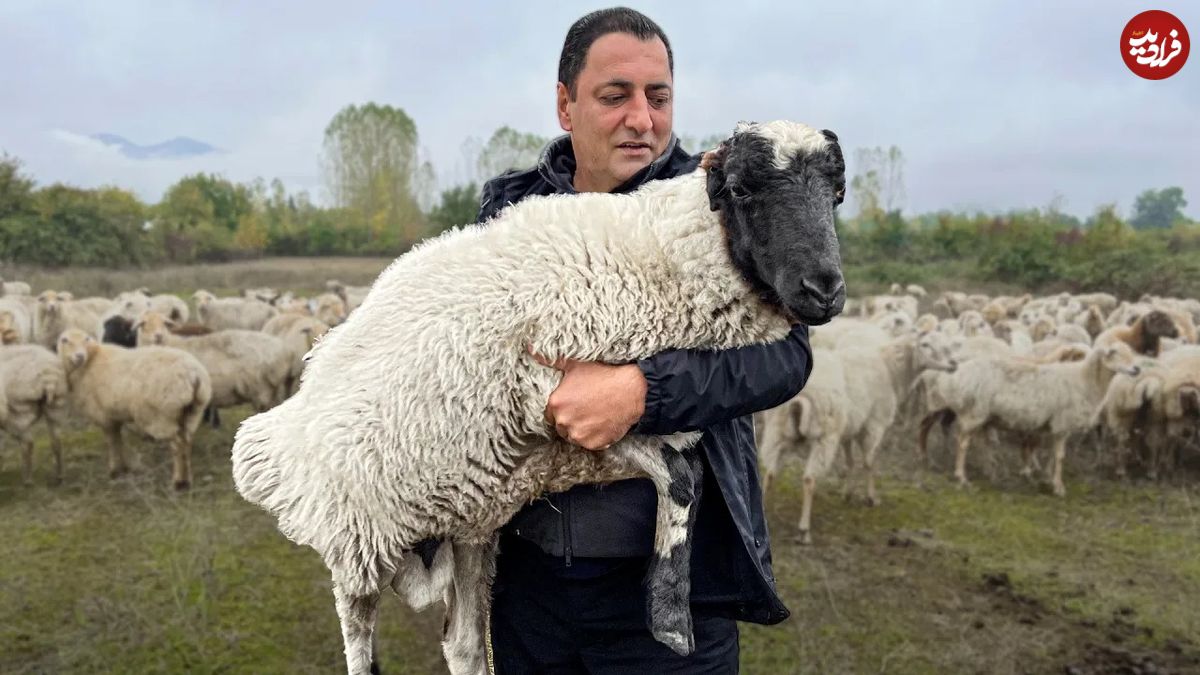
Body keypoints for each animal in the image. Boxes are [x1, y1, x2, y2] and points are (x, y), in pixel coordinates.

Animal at [0, 341, 68, 482]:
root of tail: (48, 377)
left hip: (18, 410)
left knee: (28, 443)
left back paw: (27, 479)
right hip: (56, 405)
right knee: (56, 440)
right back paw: (59, 476)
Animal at [55, 329, 211, 485]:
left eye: (86, 339)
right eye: (65, 340)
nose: (79, 356)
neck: (90, 362)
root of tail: (193, 374)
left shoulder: (103, 416)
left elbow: (112, 442)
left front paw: (114, 470)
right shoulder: (113, 416)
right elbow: (118, 441)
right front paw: (123, 468)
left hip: (162, 415)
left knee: (177, 445)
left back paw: (178, 481)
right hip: (193, 412)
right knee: (187, 442)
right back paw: (188, 479)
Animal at [229, 120, 849, 672]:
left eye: (836, 194)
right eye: (741, 189)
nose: (824, 289)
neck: (659, 256)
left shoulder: (586, 434)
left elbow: (683, 477)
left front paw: (665, 613)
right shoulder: (556, 400)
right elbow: (682, 478)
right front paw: (671, 620)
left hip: (469, 523)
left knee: (463, 645)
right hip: (356, 535)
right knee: (358, 642)